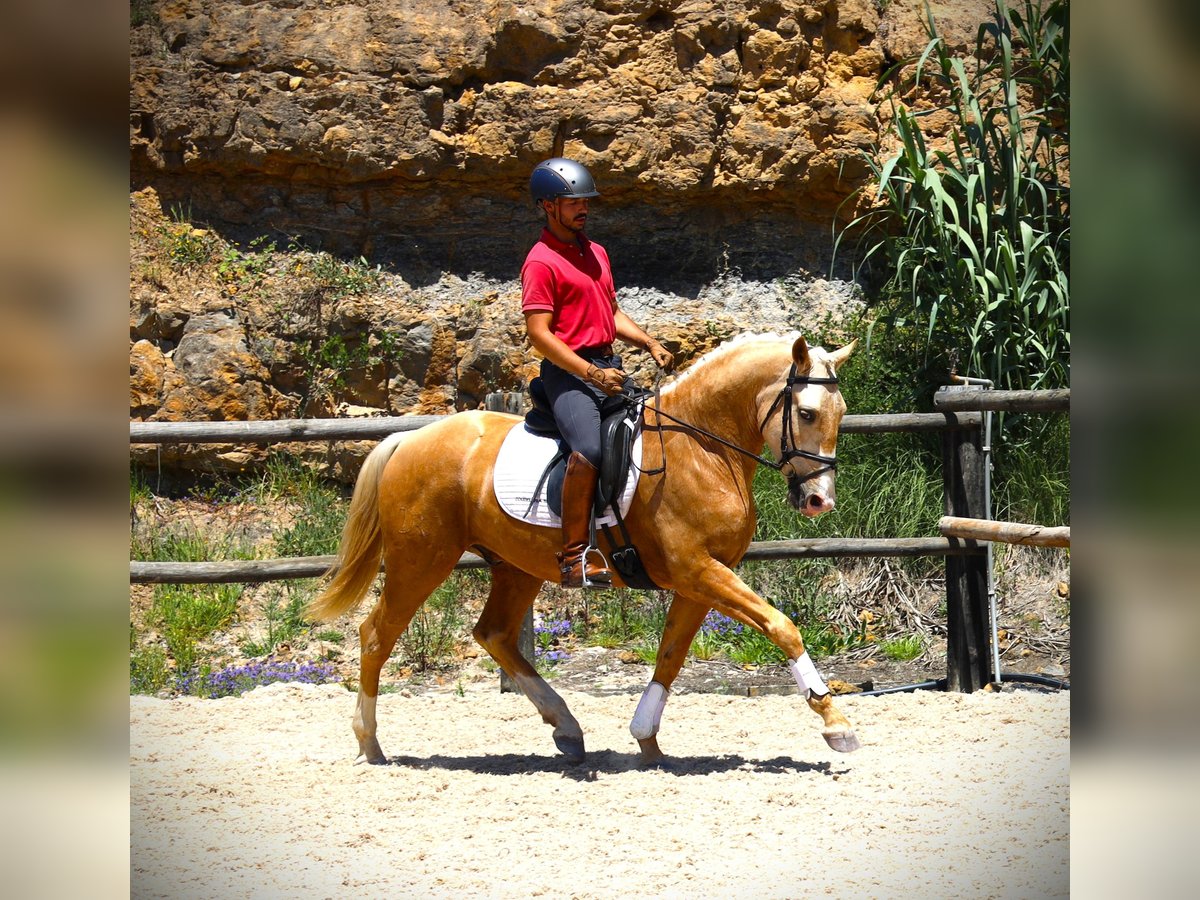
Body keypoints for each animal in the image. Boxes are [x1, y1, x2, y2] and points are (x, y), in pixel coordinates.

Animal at [304, 331, 859, 768]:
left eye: (842, 413)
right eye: (806, 412)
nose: (820, 501)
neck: (701, 448)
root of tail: (408, 438)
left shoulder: (700, 577)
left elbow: (671, 655)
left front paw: (646, 738)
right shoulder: (697, 569)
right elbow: (781, 626)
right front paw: (834, 721)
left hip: (516, 566)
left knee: (494, 633)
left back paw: (566, 729)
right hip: (421, 560)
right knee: (377, 635)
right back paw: (370, 743)